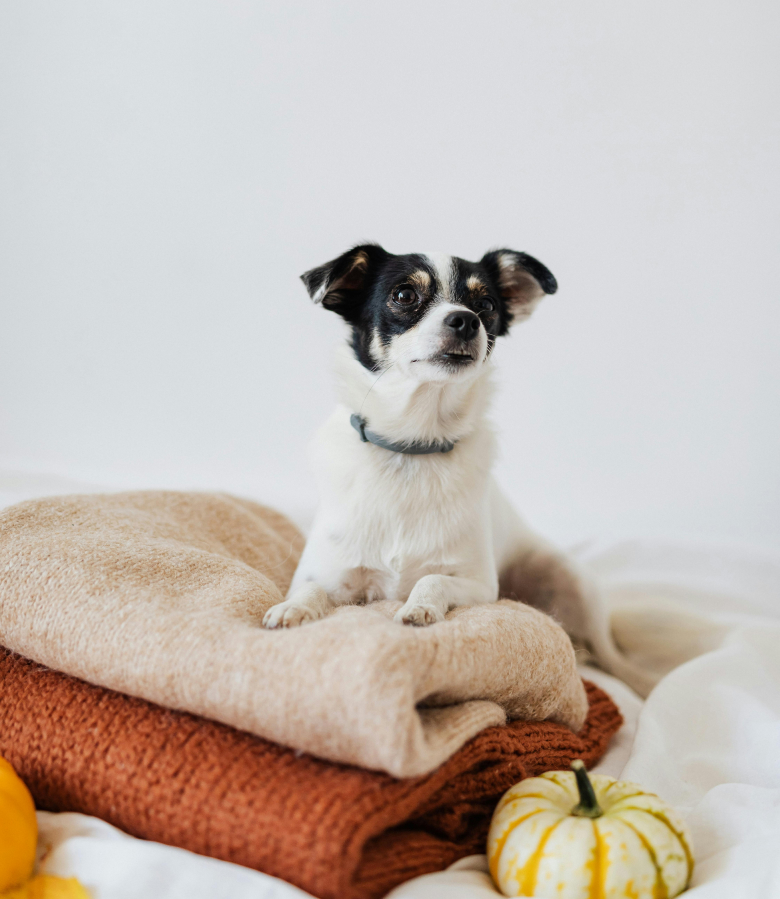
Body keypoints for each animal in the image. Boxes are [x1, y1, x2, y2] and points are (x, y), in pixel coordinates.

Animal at [262, 241, 644, 688]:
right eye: (404, 295)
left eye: (486, 305)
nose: (466, 320)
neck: (412, 447)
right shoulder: (331, 574)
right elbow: (311, 590)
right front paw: (293, 610)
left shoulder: (479, 586)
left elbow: (431, 578)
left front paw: (419, 607)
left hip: (573, 581)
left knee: (611, 656)